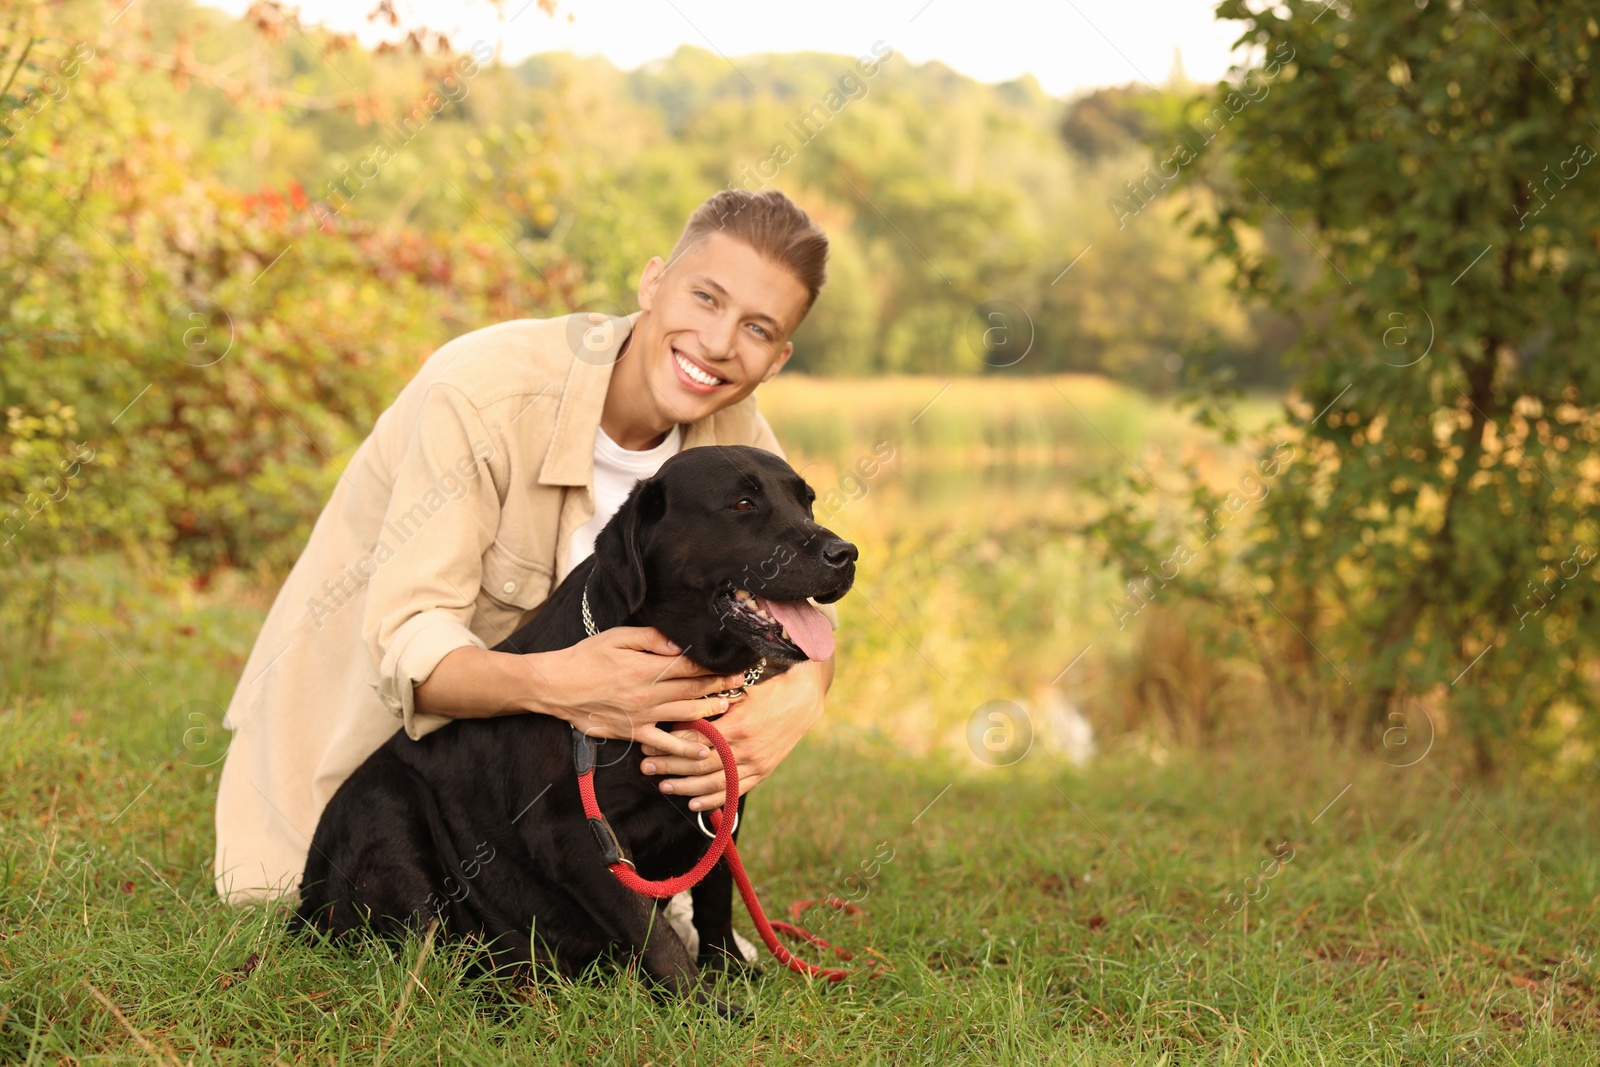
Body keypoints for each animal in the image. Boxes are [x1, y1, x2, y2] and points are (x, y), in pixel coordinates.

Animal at [292, 441, 857, 1011]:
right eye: (743, 504)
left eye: (807, 501)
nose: (846, 553)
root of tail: (304, 907)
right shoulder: (577, 834)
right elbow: (654, 931)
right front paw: (703, 1009)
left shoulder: (721, 801)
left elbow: (716, 894)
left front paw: (730, 971)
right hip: (386, 799)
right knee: (423, 951)